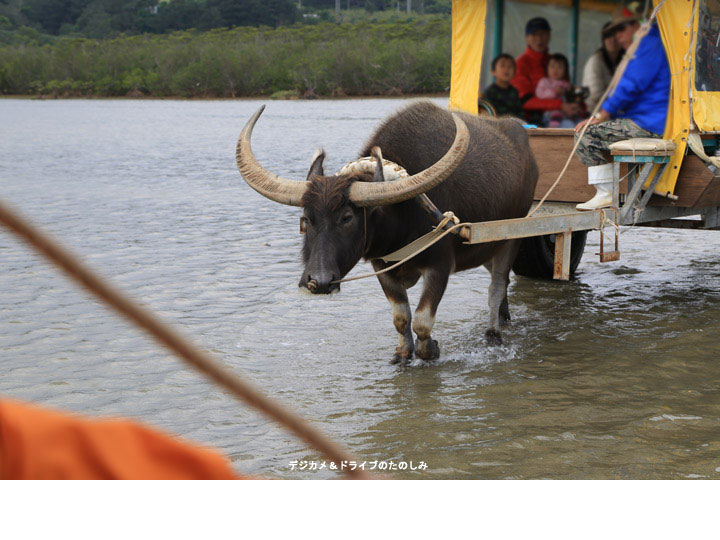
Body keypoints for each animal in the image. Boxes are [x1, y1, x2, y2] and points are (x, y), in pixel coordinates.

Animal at [239, 100, 536, 362]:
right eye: (306, 219)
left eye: (347, 218)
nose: (318, 282)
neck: (401, 215)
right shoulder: (382, 266)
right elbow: (401, 317)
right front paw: (402, 354)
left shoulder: (439, 266)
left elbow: (422, 321)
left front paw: (430, 350)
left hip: (512, 236)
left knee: (496, 286)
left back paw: (494, 333)